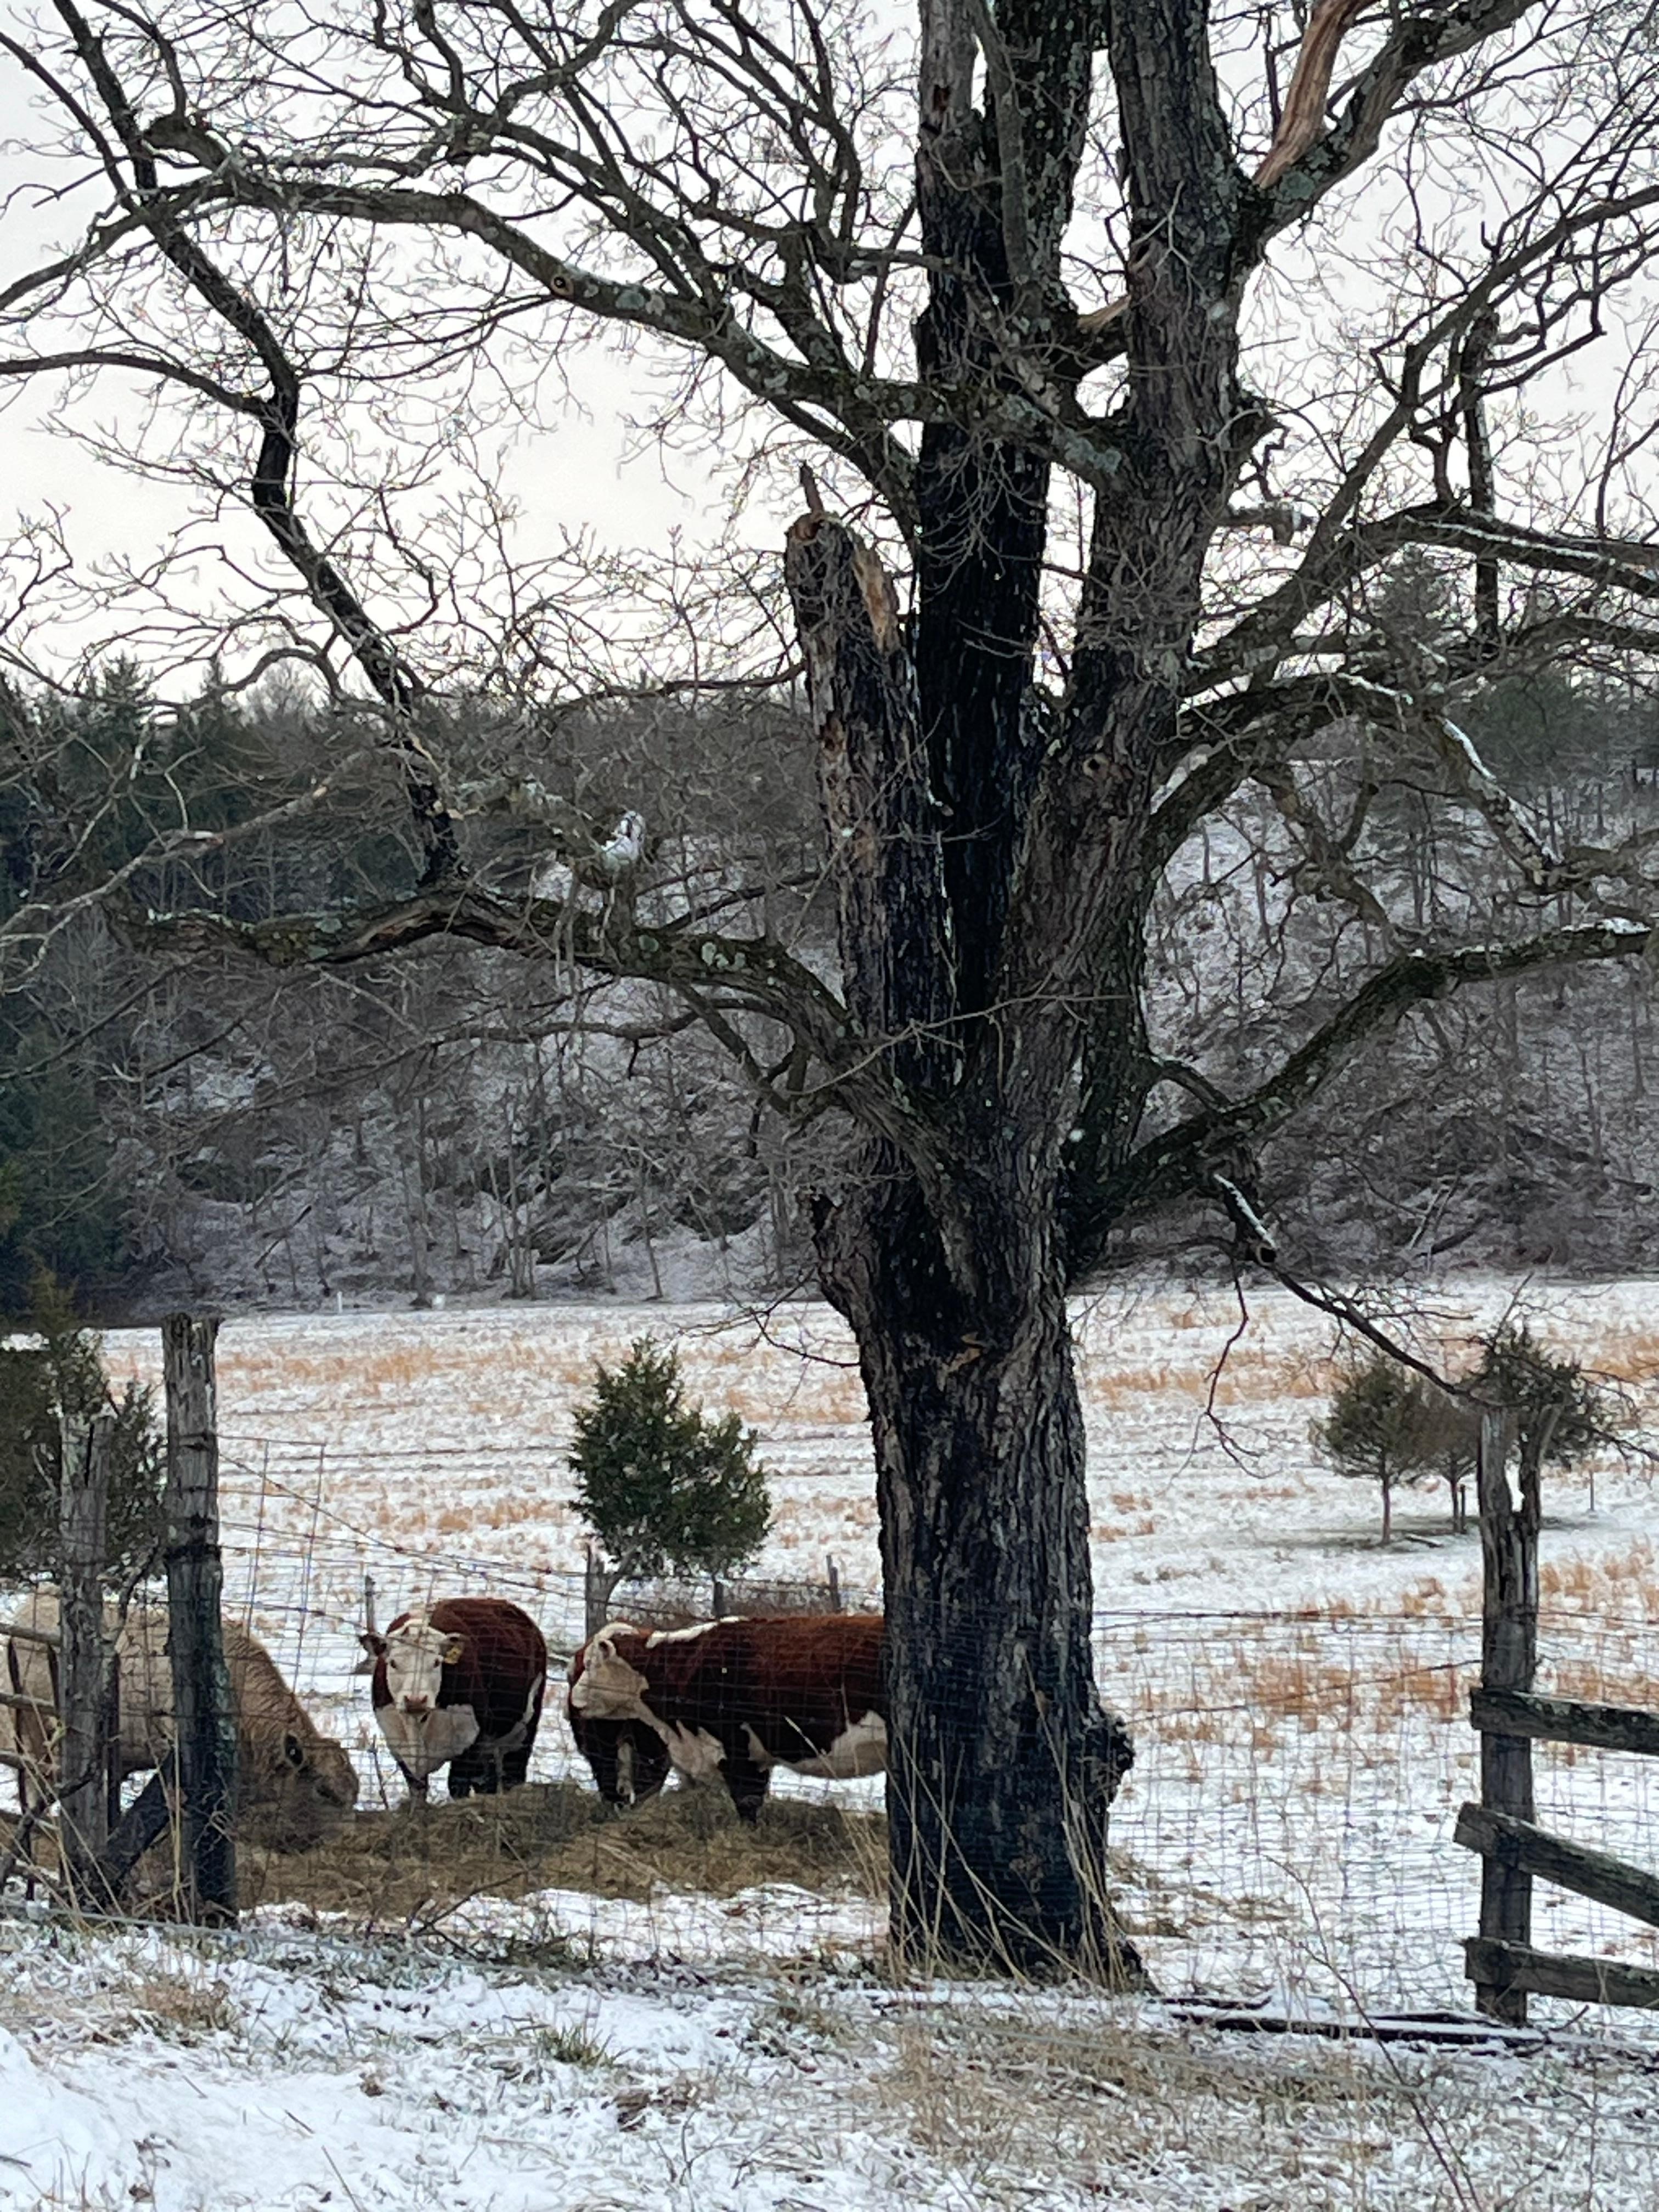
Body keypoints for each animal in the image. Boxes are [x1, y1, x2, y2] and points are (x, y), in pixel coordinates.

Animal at [362, 1596, 547, 1802]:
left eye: (437, 1662)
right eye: (393, 1663)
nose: (416, 1700)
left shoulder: (471, 1740)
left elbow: (458, 1787)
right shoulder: (398, 1746)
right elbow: (418, 1793)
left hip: (523, 1732)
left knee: (512, 1776)